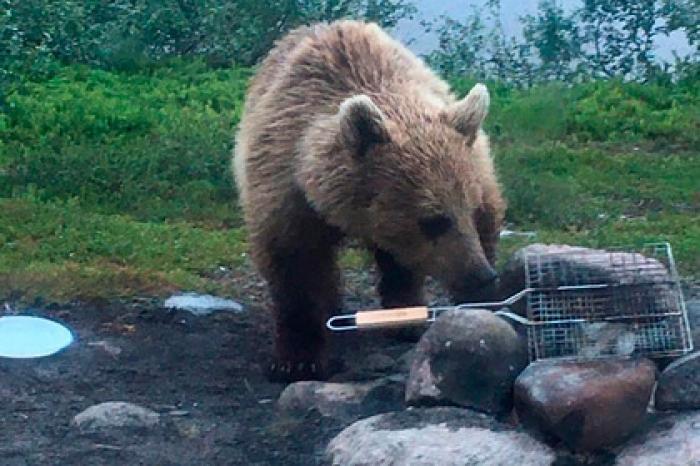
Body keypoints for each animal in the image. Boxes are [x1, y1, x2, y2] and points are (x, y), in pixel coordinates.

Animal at [234, 20, 504, 382]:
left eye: (470, 210)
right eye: (434, 220)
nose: (482, 275)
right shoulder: (283, 188)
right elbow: (294, 263)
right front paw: (297, 358)